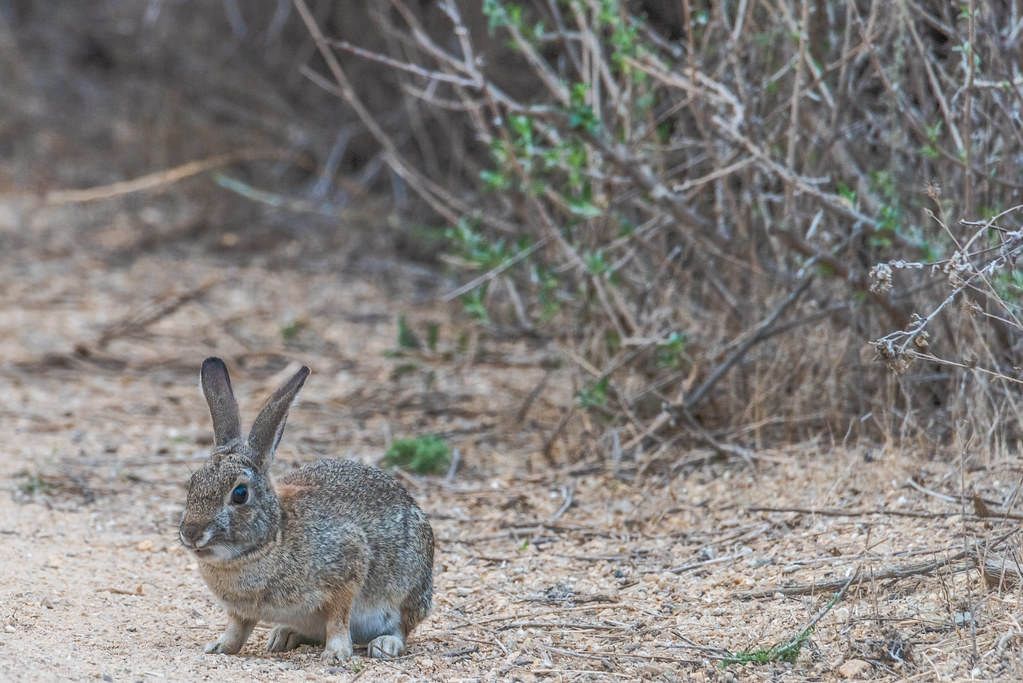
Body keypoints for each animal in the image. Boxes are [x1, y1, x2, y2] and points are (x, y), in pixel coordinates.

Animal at [178, 357, 434, 662]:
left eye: (240, 494)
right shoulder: (241, 611)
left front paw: (336, 653)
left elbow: (337, 618)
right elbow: (237, 628)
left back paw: (386, 644)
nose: (191, 533)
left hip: (407, 590)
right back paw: (283, 635)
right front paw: (219, 646)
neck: (268, 540)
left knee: (402, 627)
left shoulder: (347, 569)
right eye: (192, 483)